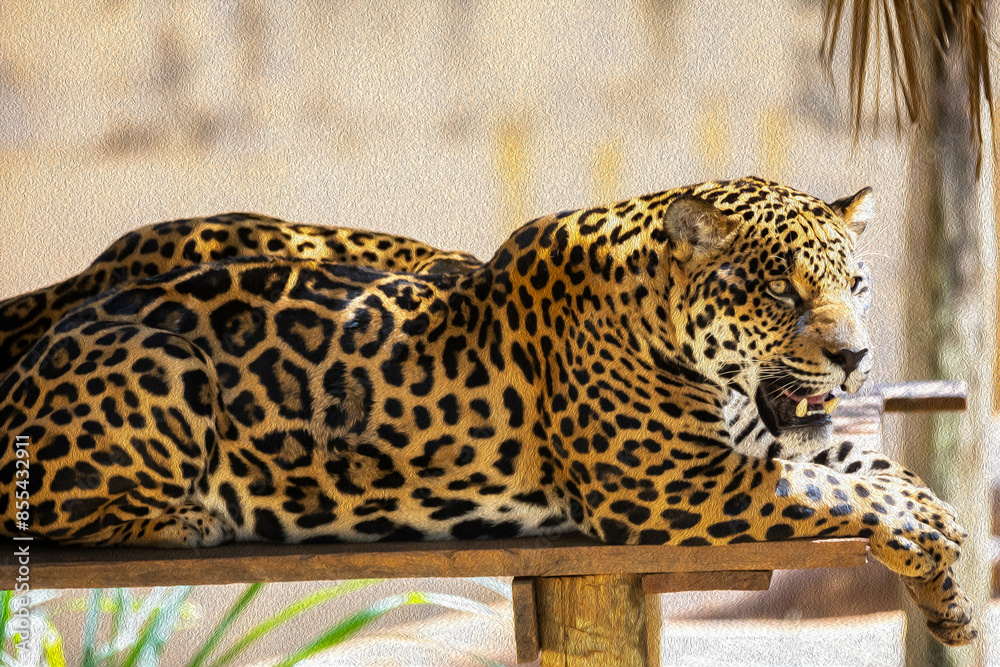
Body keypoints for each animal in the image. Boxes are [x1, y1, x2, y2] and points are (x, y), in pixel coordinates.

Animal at [0, 177, 975, 645]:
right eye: (780, 290)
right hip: (166, 363)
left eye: (856, 284)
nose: (854, 358)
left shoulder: (747, 446)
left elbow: (879, 468)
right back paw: (200, 515)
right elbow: (847, 489)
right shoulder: (675, 487)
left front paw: (952, 597)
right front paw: (938, 539)